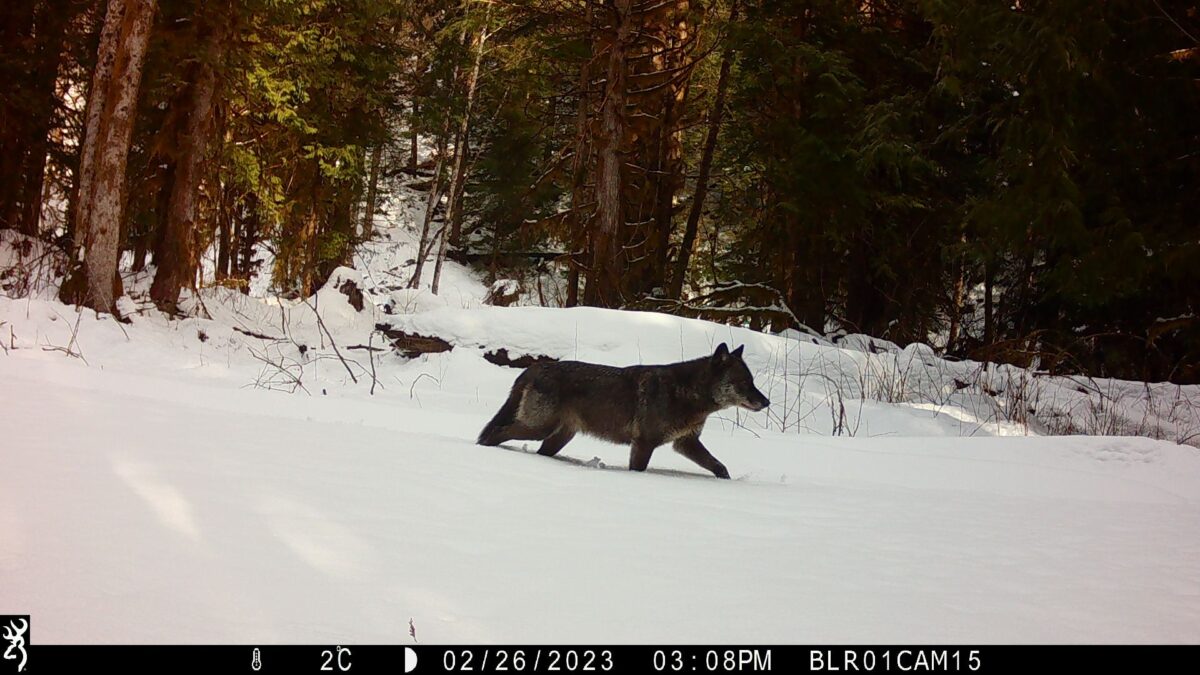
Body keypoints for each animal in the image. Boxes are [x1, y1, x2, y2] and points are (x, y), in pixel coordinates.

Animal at [477, 343, 770, 478]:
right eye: (744, 383)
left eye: (752, 381)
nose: (766, 402)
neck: (687, 393)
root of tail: (535, 367)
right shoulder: (644, 444)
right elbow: (638, 470)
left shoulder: (686, 443)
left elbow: (719, 466)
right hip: (537, 429)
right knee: (495, 434)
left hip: (557, 436)